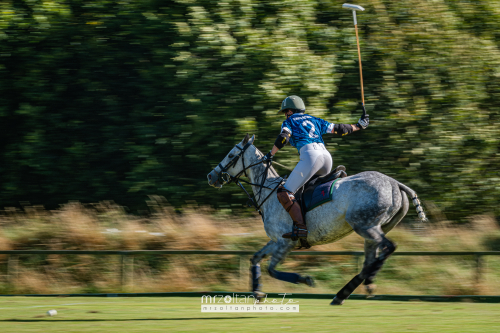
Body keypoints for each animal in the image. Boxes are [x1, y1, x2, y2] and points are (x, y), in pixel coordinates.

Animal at [207, 134, 426, 304]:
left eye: (231, 155)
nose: (211, 176)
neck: (268, 192)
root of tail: (395, 183)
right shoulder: (276, 241)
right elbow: (255, 258)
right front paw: (257, 292)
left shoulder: (286, 242)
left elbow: (272, 270)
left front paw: (304, 280)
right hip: (373, 229)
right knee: (370, 259)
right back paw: (348, 291)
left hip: (365, 225)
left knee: (388, 248)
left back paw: (357, 285)